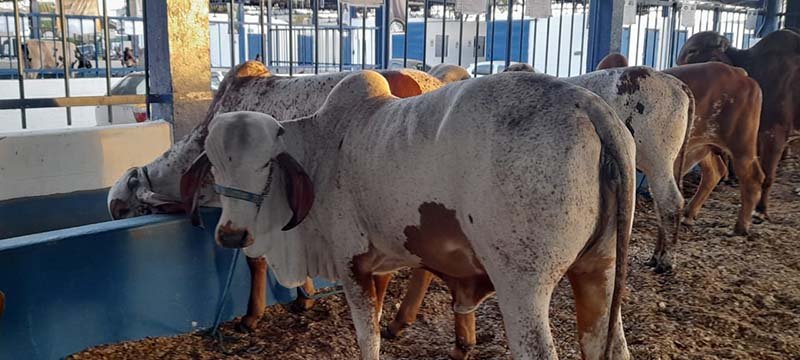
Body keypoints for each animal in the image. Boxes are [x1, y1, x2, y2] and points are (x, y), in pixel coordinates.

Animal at [184, 71, 636, 360]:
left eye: (266, 165)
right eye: (214, 166)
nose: (231, 235)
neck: (321, 147)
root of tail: (586, 102)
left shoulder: (351, 263)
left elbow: (367, 339)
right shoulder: (380, 260)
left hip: (523, 287)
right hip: (599, 270)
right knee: (610, 345)